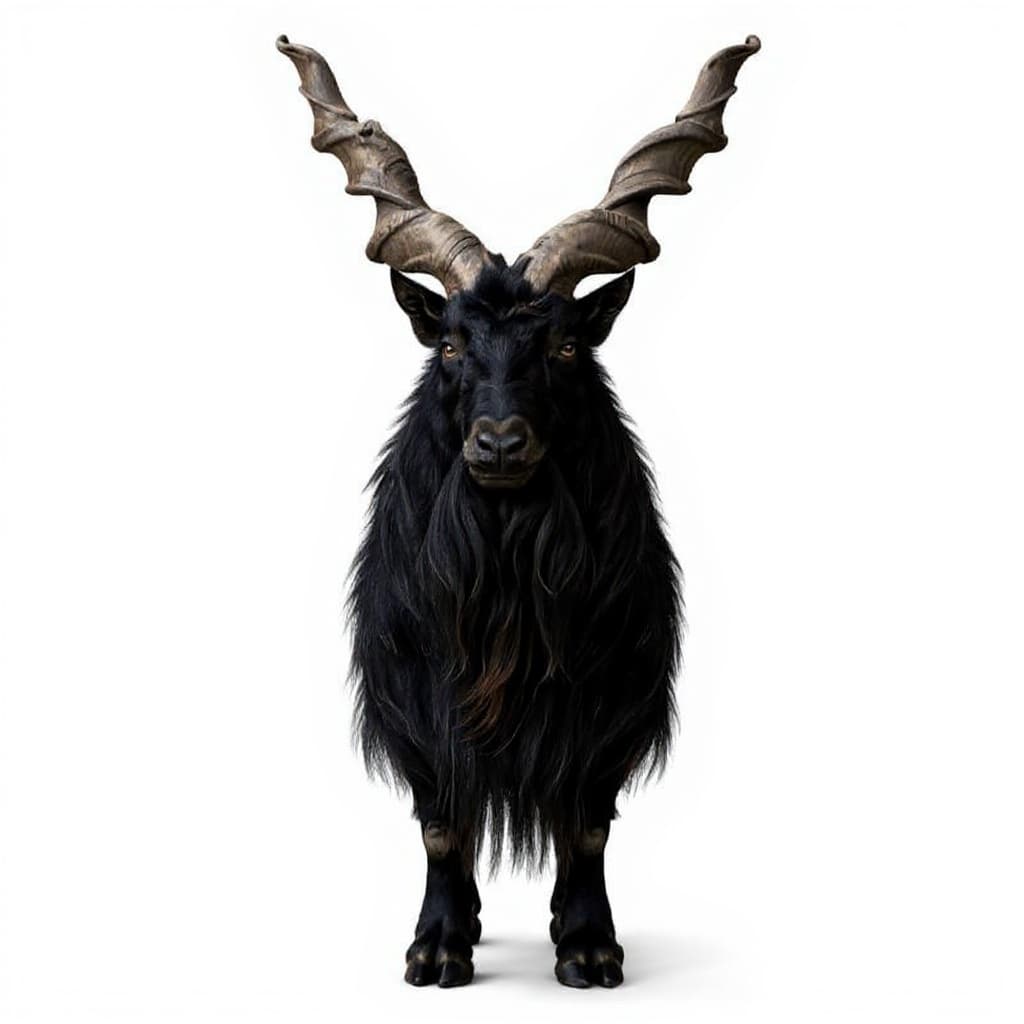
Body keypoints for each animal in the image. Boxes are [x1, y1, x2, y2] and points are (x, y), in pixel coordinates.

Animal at [278, 33, 758, 988]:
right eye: (452, 343)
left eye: (566, 344)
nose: (500, 444)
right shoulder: (418, 695)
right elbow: (441, 821)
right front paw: (436, 949)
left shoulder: (609, 698)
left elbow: (586, 823)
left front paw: (589, 948)